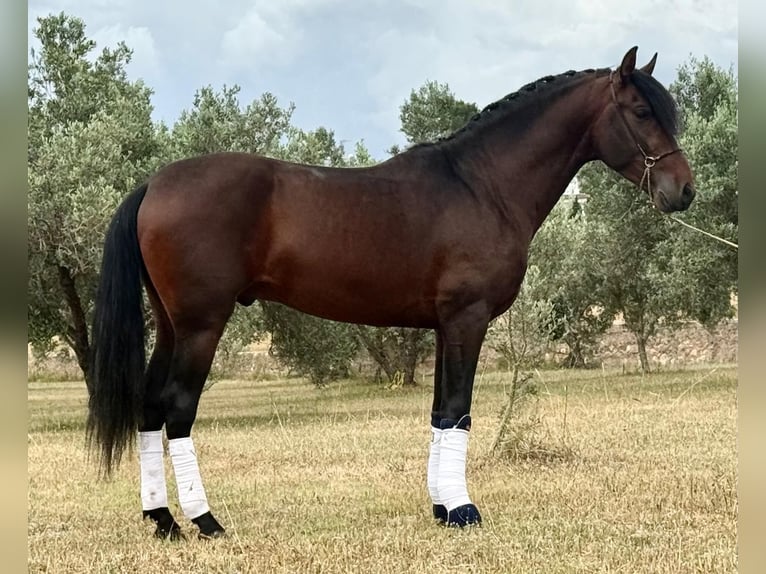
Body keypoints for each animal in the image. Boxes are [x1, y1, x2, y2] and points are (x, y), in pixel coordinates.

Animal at [87, 46, 695, 539]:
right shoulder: (468, 319)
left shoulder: (445, 327)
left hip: (171, 325)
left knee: (148, 407)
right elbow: (459, 411)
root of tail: (154, 184)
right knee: (177, 410)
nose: (684, 191)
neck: (483, 186)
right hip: (201, 325)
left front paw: (442, 509)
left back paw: (162, 520)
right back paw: (206, 521)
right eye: (643, 112)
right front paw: (464, 511)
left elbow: (440, 414)